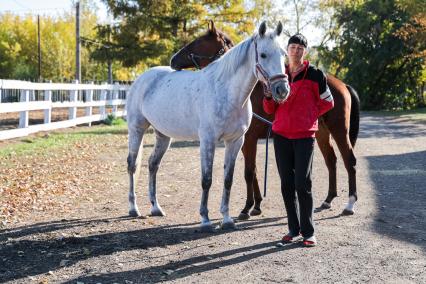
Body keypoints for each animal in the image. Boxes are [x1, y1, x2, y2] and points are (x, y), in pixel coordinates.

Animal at [125, 21, 288, 231]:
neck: (226, 92)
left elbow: (228, 179)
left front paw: (227, 219)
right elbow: (206, 180)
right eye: (263, 54)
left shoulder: (236, 141)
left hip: (163, 135)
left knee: (153, 164)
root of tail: (142, 78)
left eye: (284, 54)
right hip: (136, 129)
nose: (282, 90)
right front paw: (205, 219)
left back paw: (156, 208)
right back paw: (133, 208)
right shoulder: (208, 141)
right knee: (132, 165)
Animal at [170, 21, 360, 217]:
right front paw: (256, 204)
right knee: (331, 160)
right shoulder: (244, 140)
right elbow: (252, 172)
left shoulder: (249, 139)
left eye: (197, 42)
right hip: (322, 133)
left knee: (349, 160)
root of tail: (342, 84)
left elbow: (249, 171)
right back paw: (328, 199)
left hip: (339, 131)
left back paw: (350, 204)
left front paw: (247, 207)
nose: (173, 59)